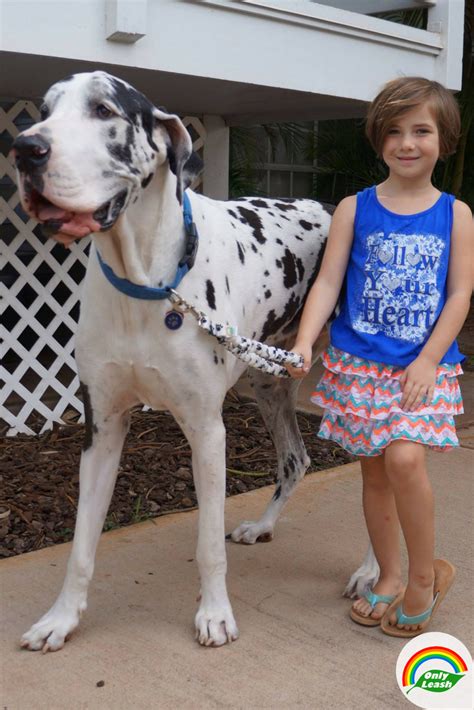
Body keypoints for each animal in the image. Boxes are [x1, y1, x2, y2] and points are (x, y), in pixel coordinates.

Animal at [13, 71, 378, 652]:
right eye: (44, 112)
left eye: (103, 110)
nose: (25, 149)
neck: (144, 284)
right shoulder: (102, 430)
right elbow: (81, 546)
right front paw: (61, 618)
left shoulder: (208, 431)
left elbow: (208, 546)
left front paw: (214, 614)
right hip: (268, 387)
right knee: (295, 460)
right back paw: (263, 525)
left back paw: (372, 572)